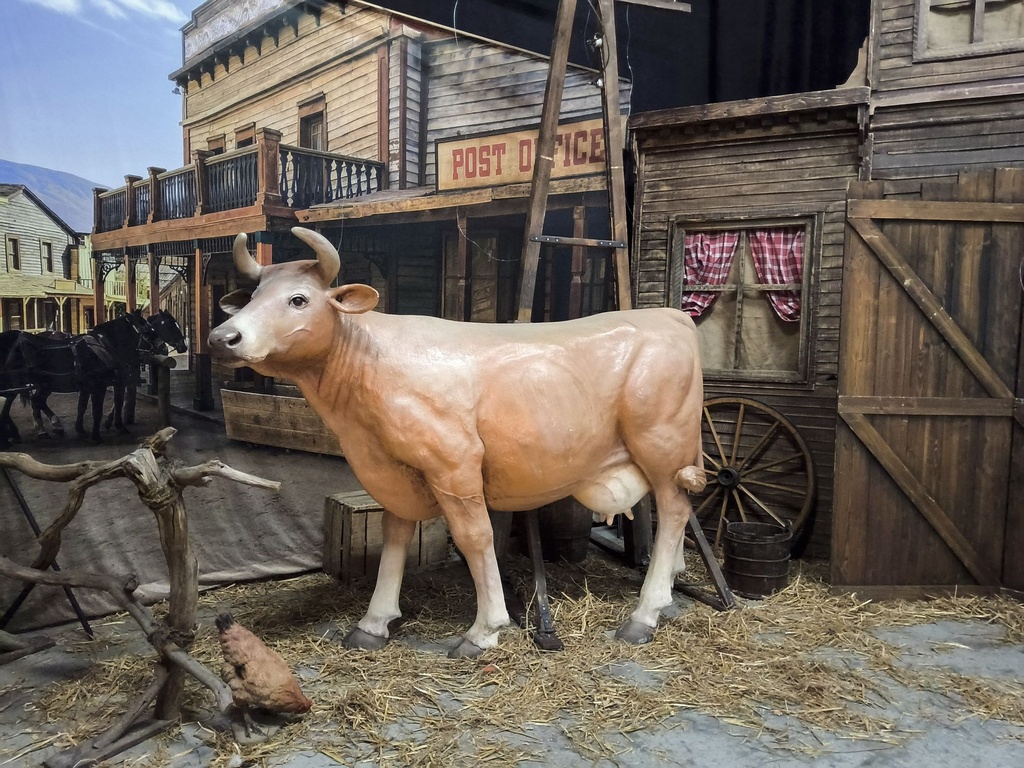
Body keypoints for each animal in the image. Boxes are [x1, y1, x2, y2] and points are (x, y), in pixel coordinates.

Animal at [209, 227, 706, 658]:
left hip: (662, 445)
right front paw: (374, 622)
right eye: (251, 298)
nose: (222, 337)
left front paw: (485, 630)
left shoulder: (454, 462)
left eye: (299, 299)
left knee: (674, 512)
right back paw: (669, 587)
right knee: (676, 513)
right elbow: (394, 537)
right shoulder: (396, 471)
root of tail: (668, 315)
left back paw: (644, 615)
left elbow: (475, 536)